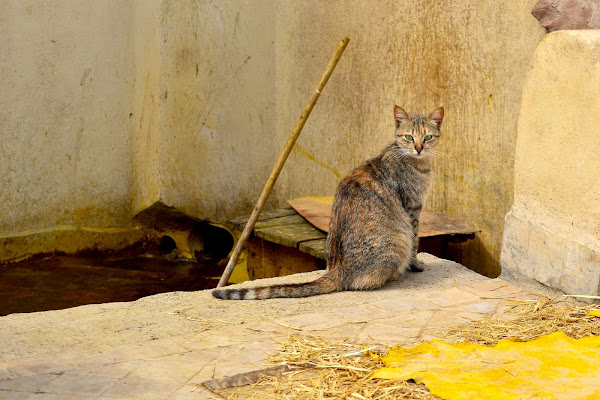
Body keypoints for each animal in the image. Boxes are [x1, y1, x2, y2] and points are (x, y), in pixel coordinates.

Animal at [213, 106, 442, 300]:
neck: (416, 161)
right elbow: (415, 242)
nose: (419, 148)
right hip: (399, 238)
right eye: (409, 137)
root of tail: (336, 270)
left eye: (427, 137)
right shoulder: (412, 209)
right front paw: (416, 265)